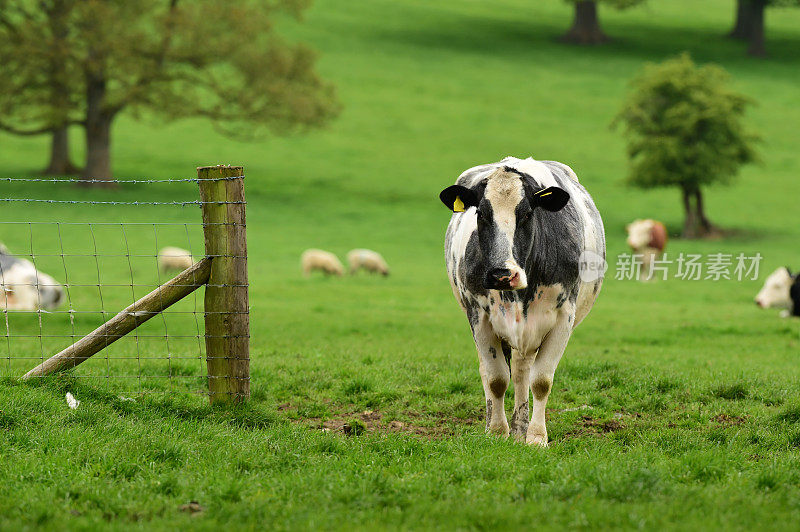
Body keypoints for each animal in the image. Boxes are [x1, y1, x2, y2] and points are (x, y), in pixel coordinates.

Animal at [440, 157, 604, 444]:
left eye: (527, 214)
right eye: (481, 214)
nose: (502, 274)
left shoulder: (563, 319)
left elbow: (541, 381)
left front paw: (536, 437)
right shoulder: (479, 317)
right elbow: (495, 379)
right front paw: (497, 432)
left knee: (521, 372)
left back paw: (521, 429)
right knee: (493, 372)